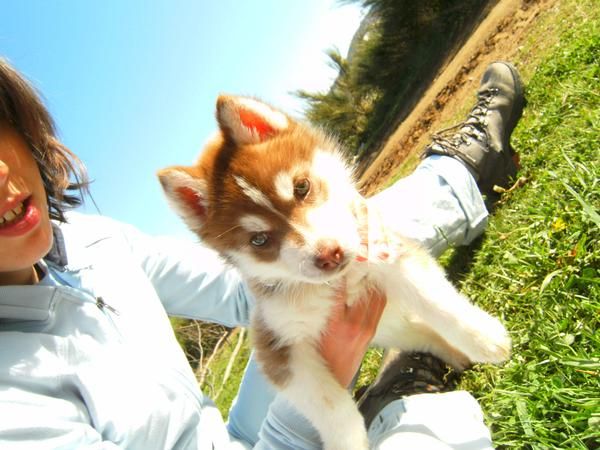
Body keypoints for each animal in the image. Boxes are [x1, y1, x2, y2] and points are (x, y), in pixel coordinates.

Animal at [157, 96, 508, 450]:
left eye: (301, 187)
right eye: (259, 240)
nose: (328, 255)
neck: (336, 282)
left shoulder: (392, 253)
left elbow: (436, 301)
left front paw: (484, 338)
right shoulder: (277, 347)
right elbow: (329, 404)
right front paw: (349, 441)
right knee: (421, 335)